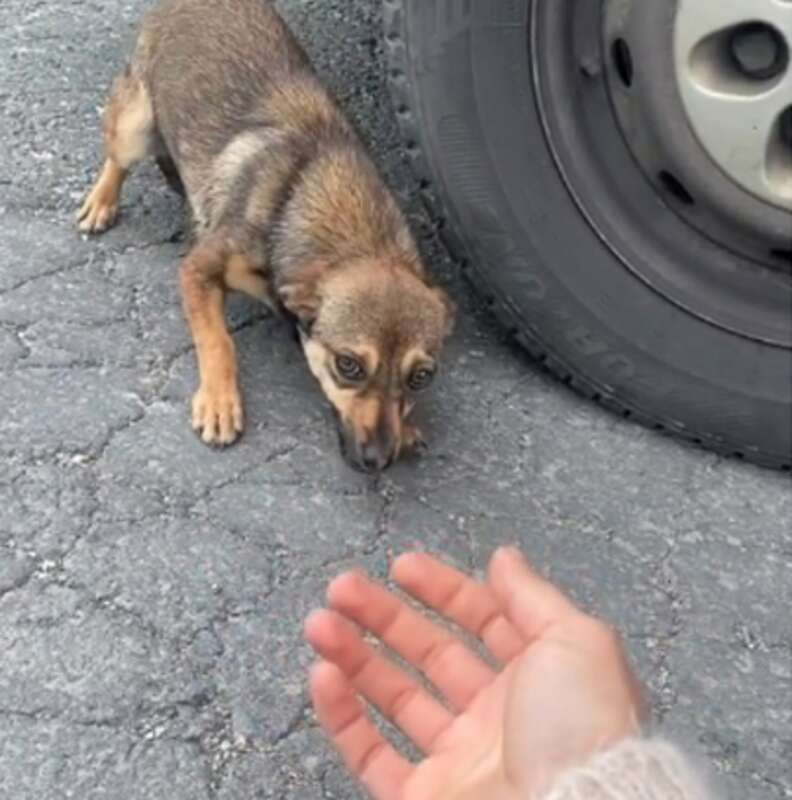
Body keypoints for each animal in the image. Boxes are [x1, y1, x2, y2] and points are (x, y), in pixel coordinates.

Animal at [79, 0, 454, 468]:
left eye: (422, 376)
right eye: (348, 365)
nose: (377, 460)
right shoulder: (199, 269)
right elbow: (218, 342)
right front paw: (219, 402)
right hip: (136, 124)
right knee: (118, 158)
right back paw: (101, 202)